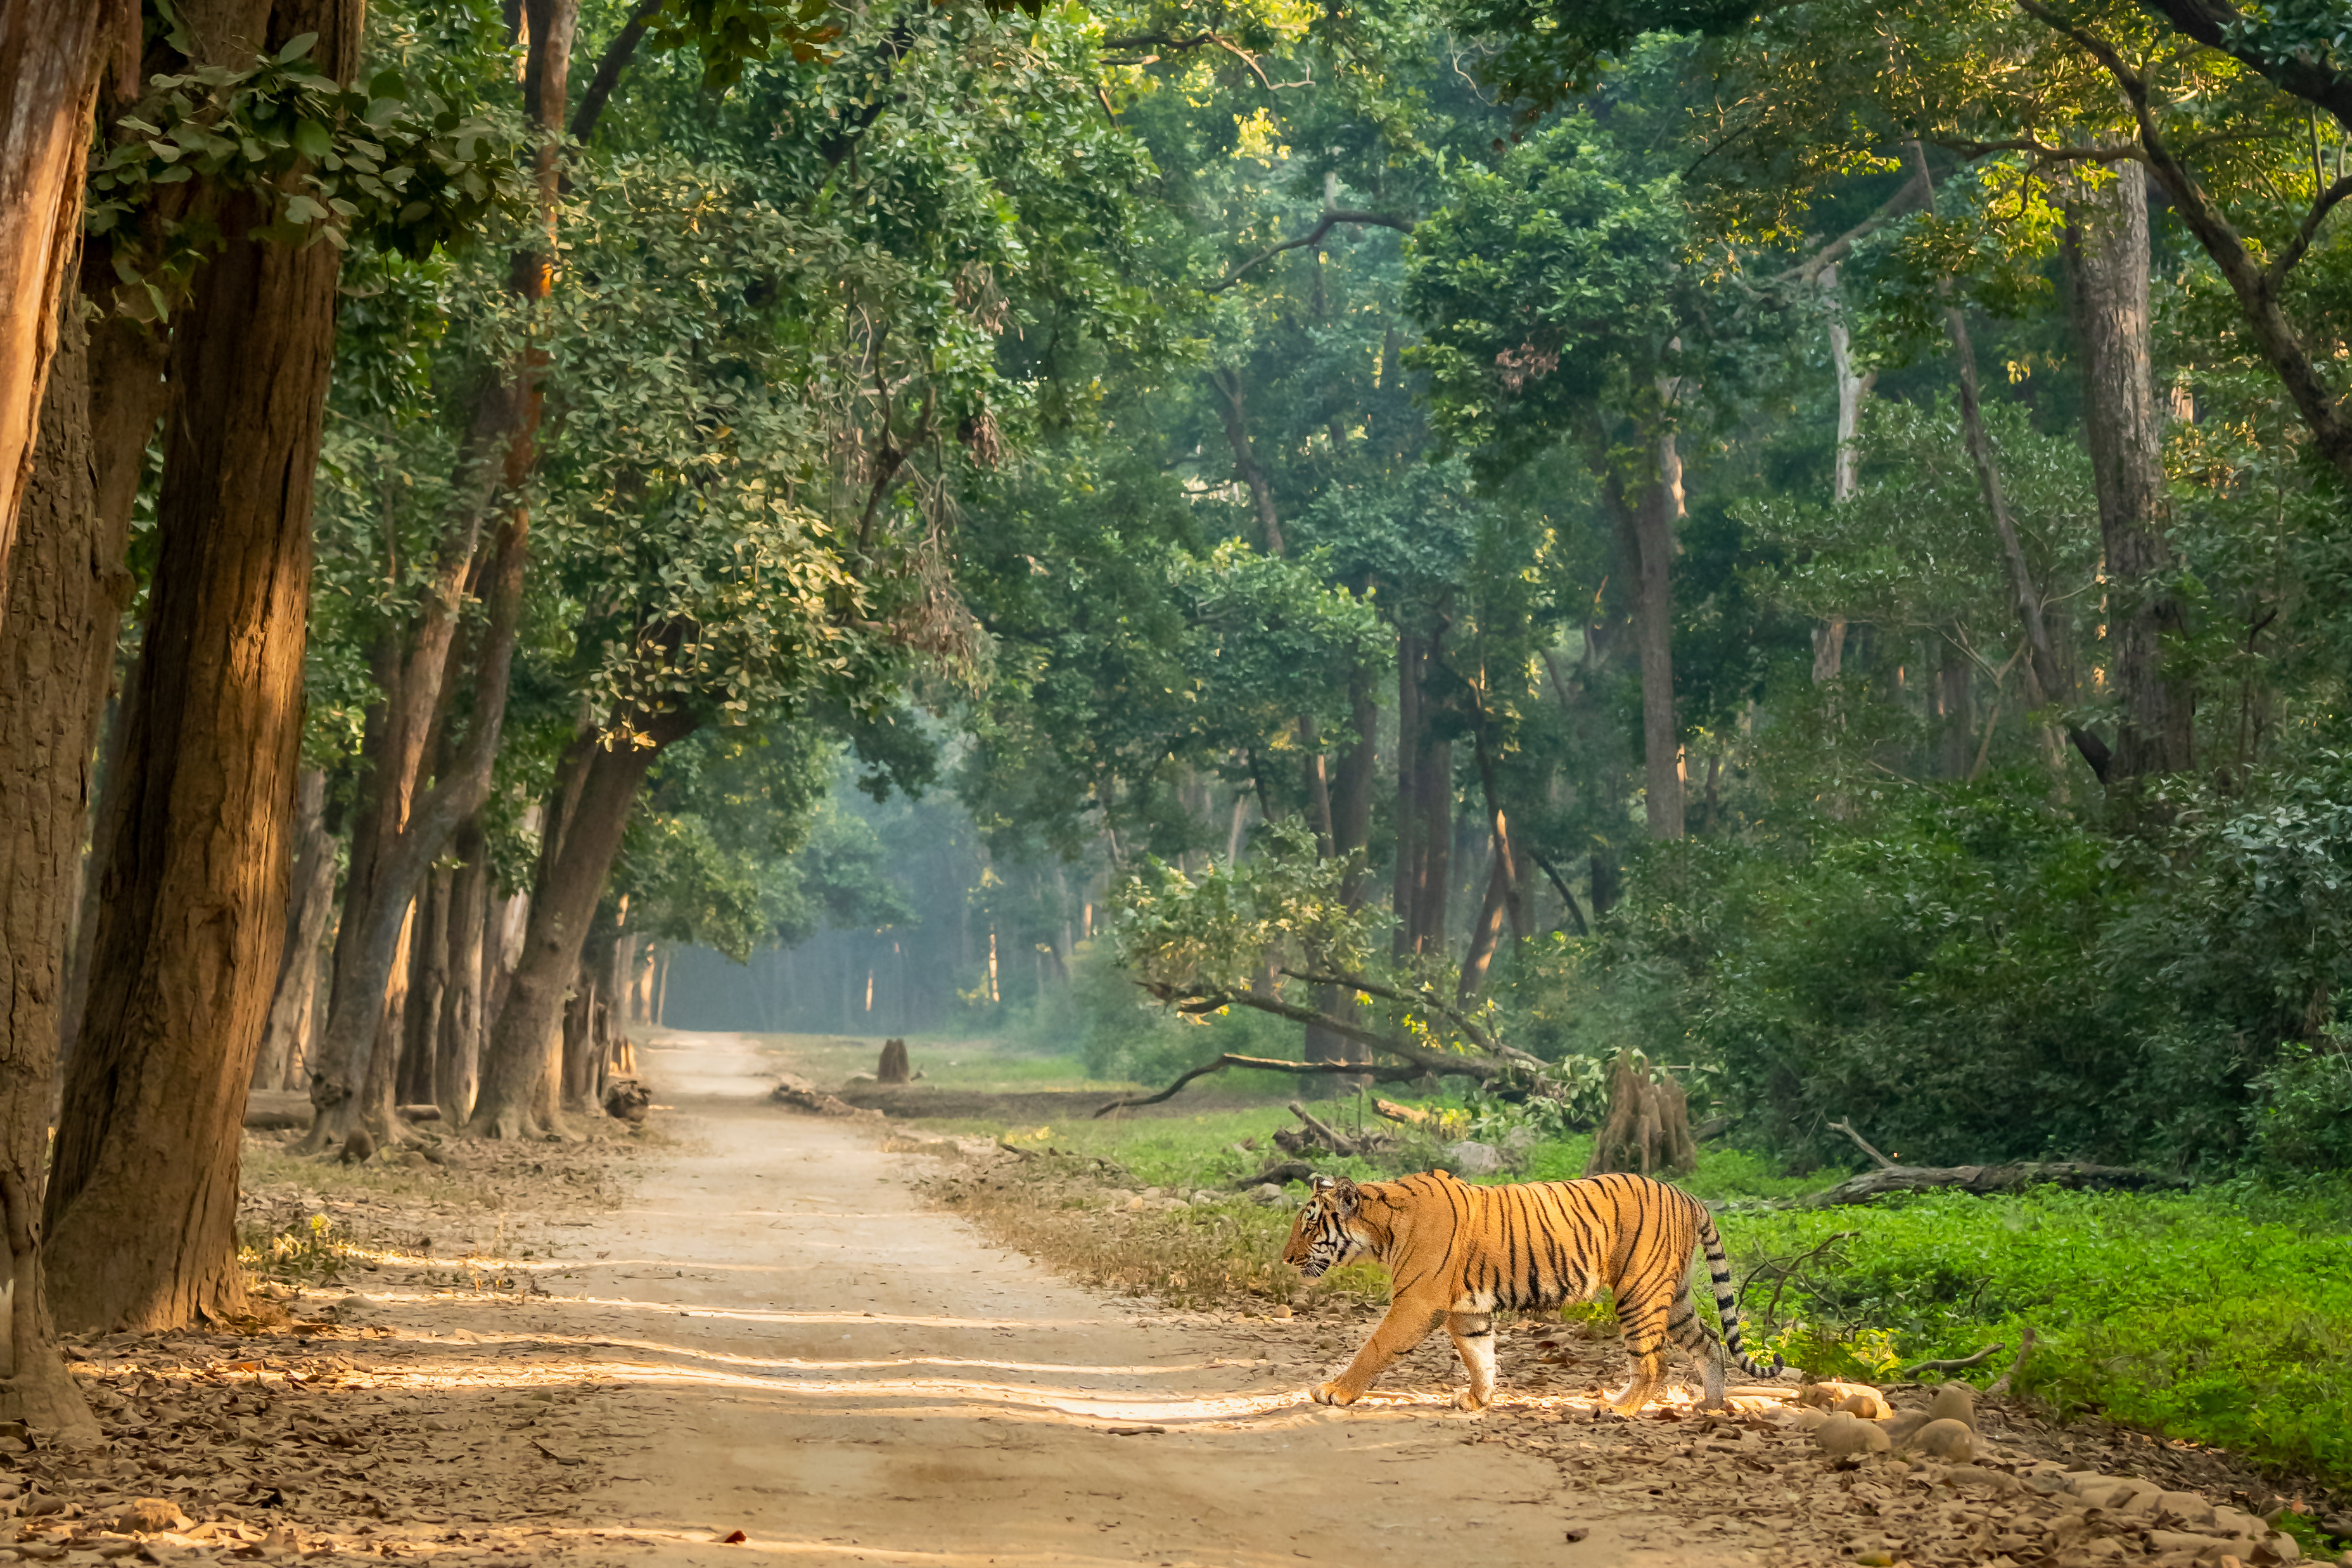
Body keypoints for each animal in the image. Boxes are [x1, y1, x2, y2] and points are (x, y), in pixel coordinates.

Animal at [1289, 1170, 1778, 1420]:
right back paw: (1711, 1405)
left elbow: (1375, 1347)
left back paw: (1620, 1408)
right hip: (1672, 1296)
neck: (1381, 1229)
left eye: (1310, 1226)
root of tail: (1689, 1195)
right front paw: (1478, 1400)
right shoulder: (1466, 1310)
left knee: (1654, 1363)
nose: (1287, 1258)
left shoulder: (1417, 1302)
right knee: (1709, 1342)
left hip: (1640, 1291)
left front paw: (1335, 1391)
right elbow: (1479, 1355)